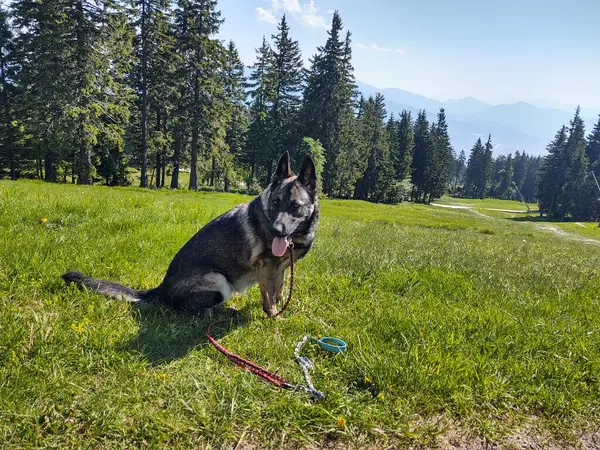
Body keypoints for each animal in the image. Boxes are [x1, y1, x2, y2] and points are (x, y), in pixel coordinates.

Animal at [62, 153, 318, 318]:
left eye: (295, 205)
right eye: (275, 202)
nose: (275, 230)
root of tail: (161, 289)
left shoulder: (280, 268)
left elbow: (278, 291)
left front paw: (281, 306)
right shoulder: (265, 267)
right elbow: (269, 298)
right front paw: (275, 317)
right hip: (218, 280)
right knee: (193, 311)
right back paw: (223, 312)